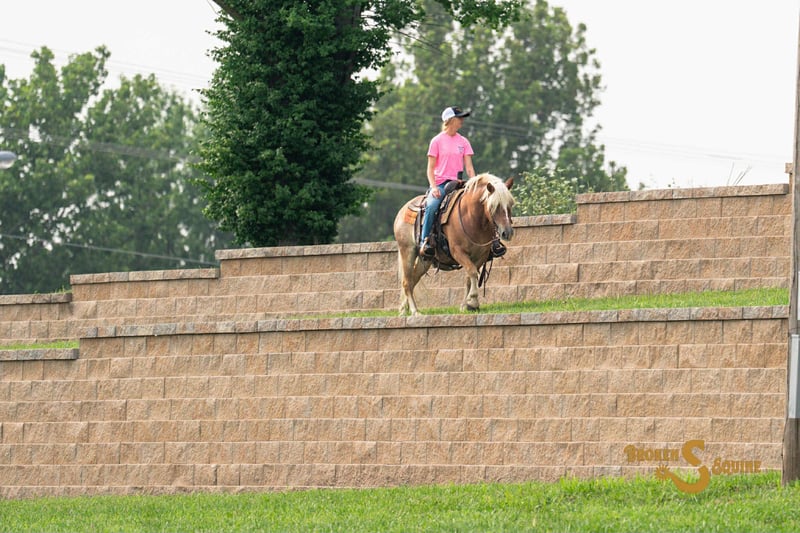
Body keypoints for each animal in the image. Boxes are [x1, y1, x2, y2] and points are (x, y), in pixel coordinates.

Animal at [393, 173, 515, 315]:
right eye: (494, 206)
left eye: (510, 204)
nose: (507, 232)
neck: (471, 217)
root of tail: (401, 211)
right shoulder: (458, 252)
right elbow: (472, 272)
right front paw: (473, 301)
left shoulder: (481, 255)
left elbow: (469, 276)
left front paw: (466, 305)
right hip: (407, 251)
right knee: (406, 282)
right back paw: (415, 311)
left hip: (426, 260)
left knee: (412, 280)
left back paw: (403, 310)